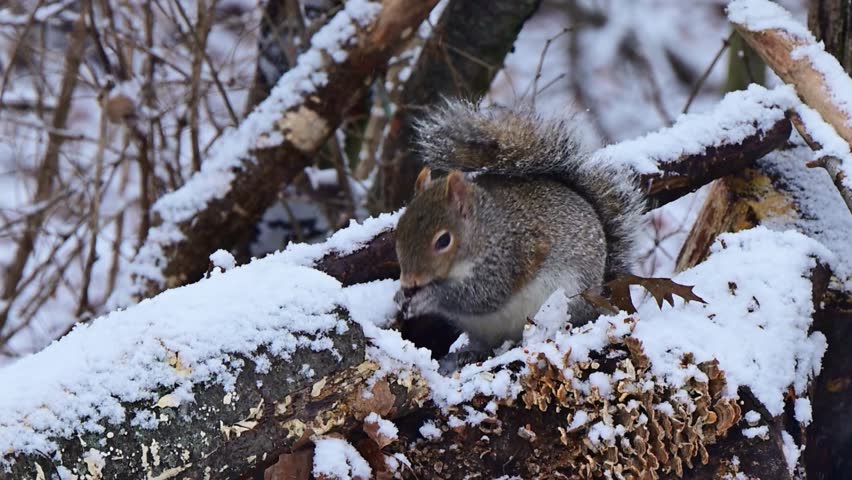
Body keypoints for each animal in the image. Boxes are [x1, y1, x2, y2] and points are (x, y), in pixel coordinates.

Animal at [394, 99, 645, 361]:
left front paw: (428, 297)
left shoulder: (510, 256)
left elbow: (482, 295)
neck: (486, 230)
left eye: (443, 241)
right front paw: (401, 296)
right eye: (399, 231)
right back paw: (472, 352)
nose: (409, 281)